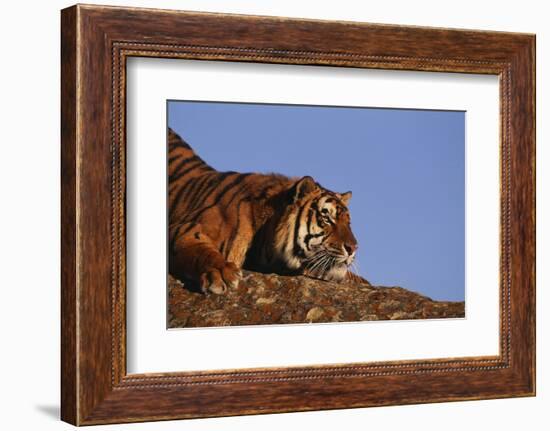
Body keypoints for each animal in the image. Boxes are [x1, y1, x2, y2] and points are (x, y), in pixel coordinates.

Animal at [168, 128, 362, 296]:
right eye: (327, 218)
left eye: (348, 223)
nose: (353, 248)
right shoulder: (186, 227)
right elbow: (200, 249)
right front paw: (221, 273)